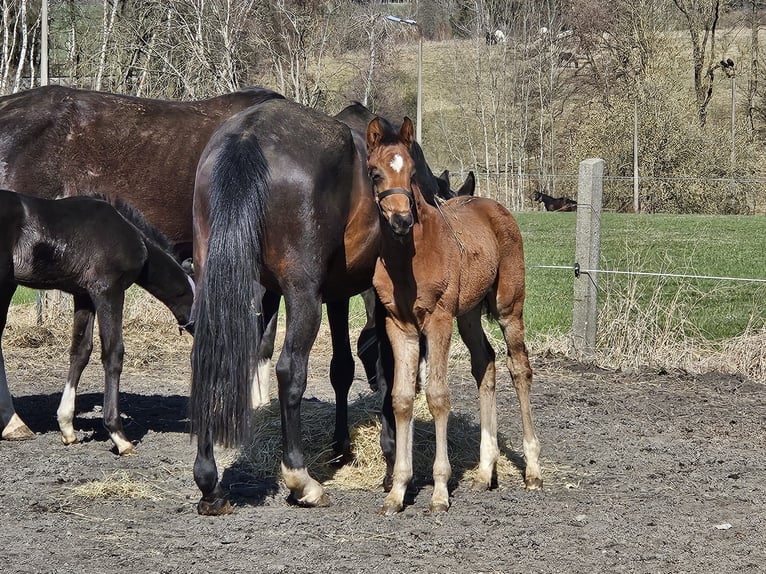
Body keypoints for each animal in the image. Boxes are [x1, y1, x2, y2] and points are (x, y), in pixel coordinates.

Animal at [0, 191, 195, 456]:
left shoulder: (83, 295)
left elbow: (80, 351)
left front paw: (67, 427)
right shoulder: (108, 290)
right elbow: (113, 353)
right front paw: (119, 436)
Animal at [368, 118, 544, 516]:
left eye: (413, 172)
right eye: (375, 173)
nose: (402, 220)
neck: (409, 257)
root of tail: (494, 206)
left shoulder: (438, 319)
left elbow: (437, 396)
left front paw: (439, 491)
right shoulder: (399, 325)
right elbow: (402, 399)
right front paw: (397, 490)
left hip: (508, 306)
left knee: (519, 369)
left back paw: (533, 470)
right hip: (469, 314)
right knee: (486, 363)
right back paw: (485, 471)